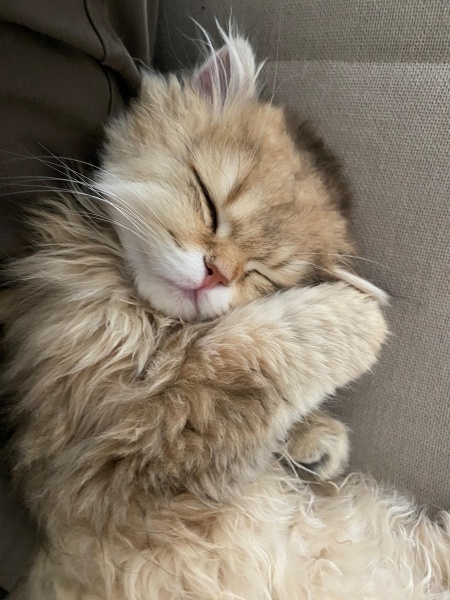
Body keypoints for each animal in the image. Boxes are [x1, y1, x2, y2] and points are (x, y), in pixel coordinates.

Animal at [0, 30, 450, 600]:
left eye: (261, 274)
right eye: (210, 202)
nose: (216, 274)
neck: (154, 325)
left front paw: (314, 442)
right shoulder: (115, 451)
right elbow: (248, 356)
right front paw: (359, 320)